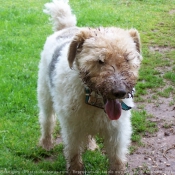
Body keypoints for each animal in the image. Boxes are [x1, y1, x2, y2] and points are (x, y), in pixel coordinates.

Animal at [37, 0, 143, 174]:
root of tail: (65, 28)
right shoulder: (72, 127)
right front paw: (75, 169)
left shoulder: (117, 130)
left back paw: (91, 146)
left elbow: (117, 159)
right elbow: (74, 154)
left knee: (87, 134)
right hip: (45, 96)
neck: (92, 99)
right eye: (100, 60)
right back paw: (46, 144)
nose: (120, 92)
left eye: (128, 59)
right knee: (47, 121)